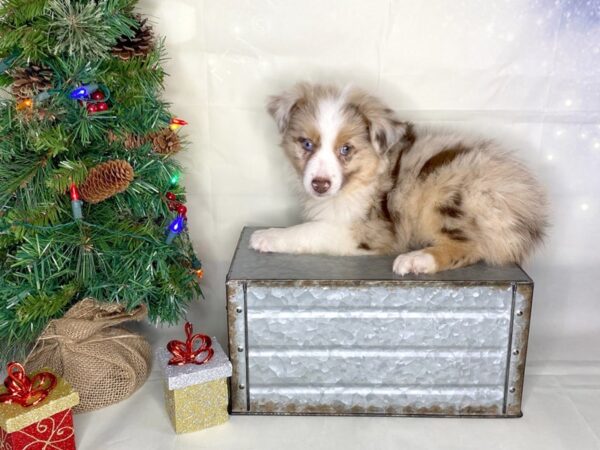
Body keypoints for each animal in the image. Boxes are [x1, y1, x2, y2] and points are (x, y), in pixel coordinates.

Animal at [248, 83, 548, 276]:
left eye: (346, 149)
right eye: (307, 144)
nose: (320, 185)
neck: (363, 176)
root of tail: (528, 204)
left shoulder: (367, 231)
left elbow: (309, 230)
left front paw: (268, 235)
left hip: (450, 194)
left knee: (471, 246)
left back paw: (417, 260)